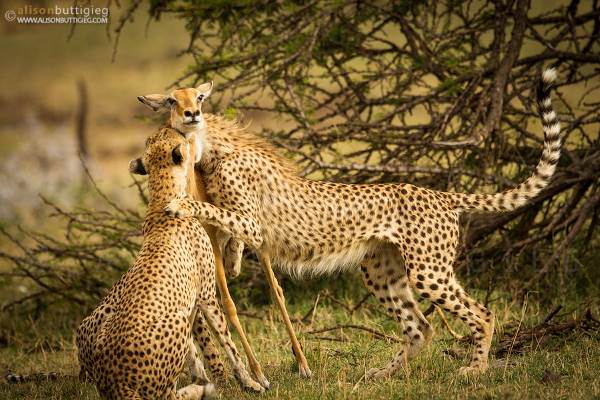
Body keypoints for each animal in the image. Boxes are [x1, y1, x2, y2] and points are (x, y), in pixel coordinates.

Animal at [76, 127, 264, 396]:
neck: (161, 198)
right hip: (175, 320)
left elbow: (196, 353)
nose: (180, 128)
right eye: (179, 136)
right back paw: (198, 390)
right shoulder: (206, 296)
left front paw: (208, 377)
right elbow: (228, 343)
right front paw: (249, 382)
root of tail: (116, 382)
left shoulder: (192, 300)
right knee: (168, 394)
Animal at [156, 69, 564, 382]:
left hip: (428, 271)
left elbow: (219, 215)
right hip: (381, 271)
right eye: (173, 101)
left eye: (199, 98)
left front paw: (180, 204)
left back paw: (475, 370)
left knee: (483, 313)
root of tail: (442, 194)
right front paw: (234, 259)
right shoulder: (242, 221)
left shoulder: (253, 223)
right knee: (420, 329)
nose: (191, 114)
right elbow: (227, 234)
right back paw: (381, 374)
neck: (213, 147)